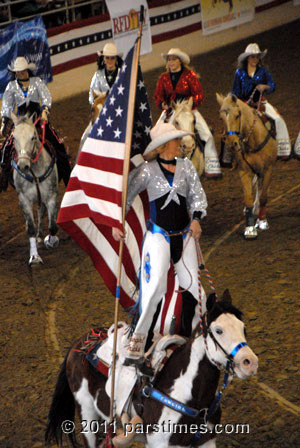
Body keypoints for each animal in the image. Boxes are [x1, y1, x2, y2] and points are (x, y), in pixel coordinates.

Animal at [11, 113, 59, 266]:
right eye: (14, 137)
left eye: (33, 137)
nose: (23, 166)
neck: (34, 173)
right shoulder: (24, 199)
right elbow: (31, 228)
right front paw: (34, 257)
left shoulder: (51, 196)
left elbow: (53, 226)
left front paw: (51, 241)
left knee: (42, 211)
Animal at [44, 290, 258, 448]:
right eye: (218, 330)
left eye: (243, 327)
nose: (250, 362)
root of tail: (80, 343)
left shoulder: (206, 442)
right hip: (87, 415)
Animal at [216, 91, 276, 238]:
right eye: (221, 118)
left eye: (237, 115)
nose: (232, 143)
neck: (253, 140)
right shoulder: (244, 170)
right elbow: (248, 198)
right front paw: (249, 228)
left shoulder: (268, 169)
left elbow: (263, 197)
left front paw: (262, 221)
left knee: (260, 190)